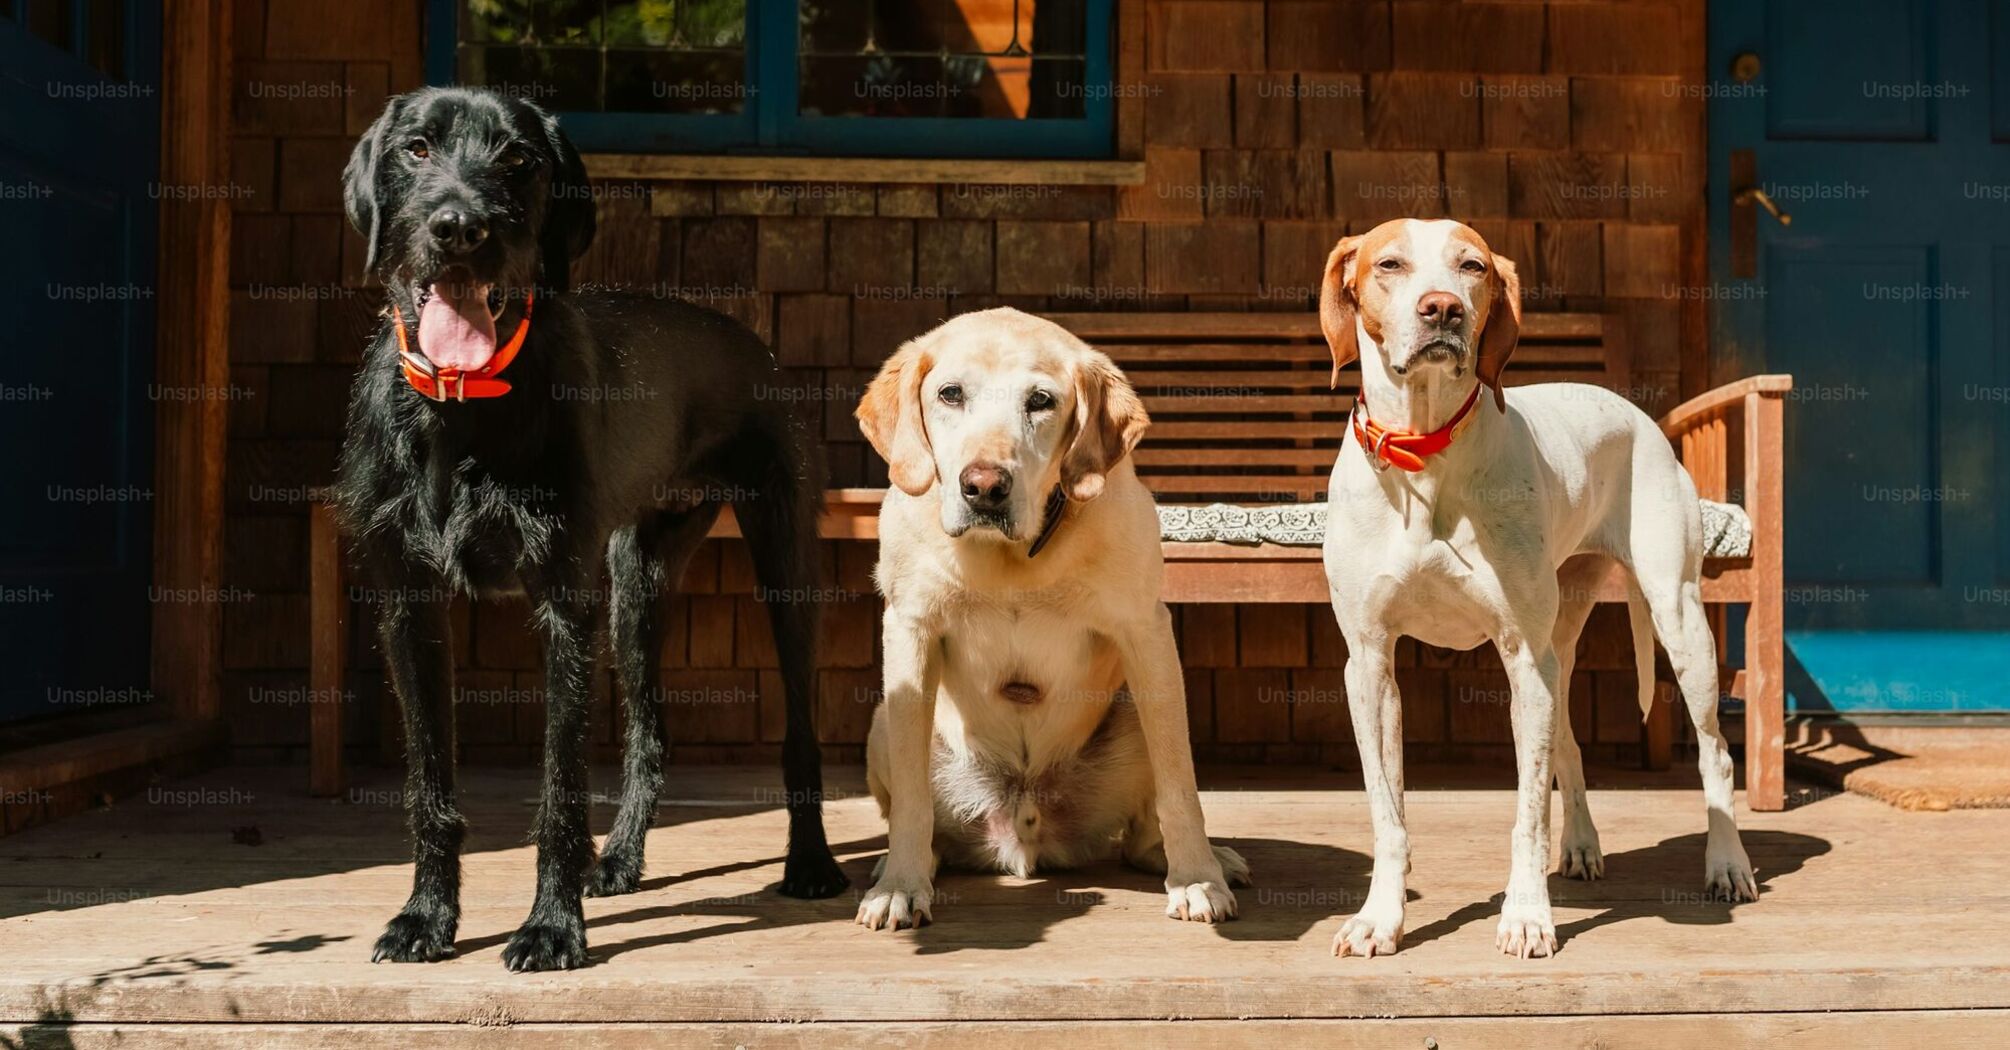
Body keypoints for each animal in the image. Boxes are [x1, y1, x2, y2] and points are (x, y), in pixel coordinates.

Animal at [341, 85, 844, 969]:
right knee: (650, 733)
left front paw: (550, 925)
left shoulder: (562, 604)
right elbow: (429, 780)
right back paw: (622, 859)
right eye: (416, 149)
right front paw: (426, 916)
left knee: (799, 732)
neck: (463, 407)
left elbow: (560, 788)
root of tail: (750, 338)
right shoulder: (408, 604)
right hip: (637, 582)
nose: (460, 229)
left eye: (518, 158)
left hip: (783, 563)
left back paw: (810, 862)